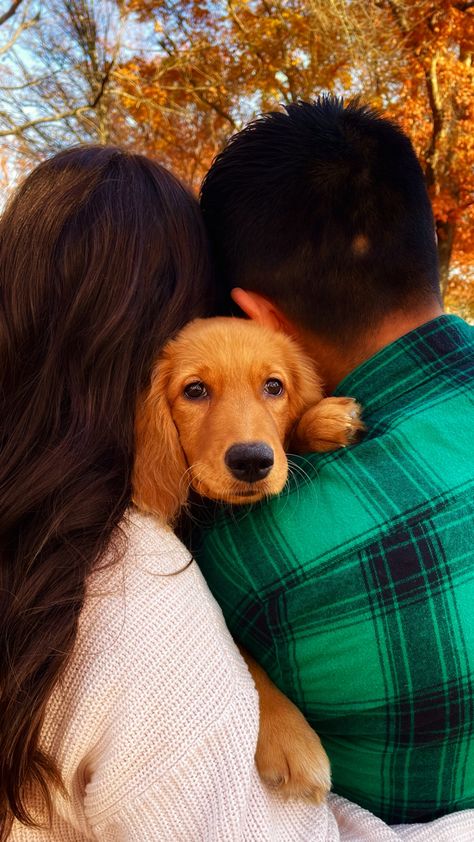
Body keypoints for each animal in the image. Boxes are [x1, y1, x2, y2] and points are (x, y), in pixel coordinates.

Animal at [132, 316, 362, 800]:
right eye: (195, 390)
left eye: (274, 386)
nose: (253, 460)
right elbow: (242, 652)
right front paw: (290, 737)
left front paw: (323, 420)